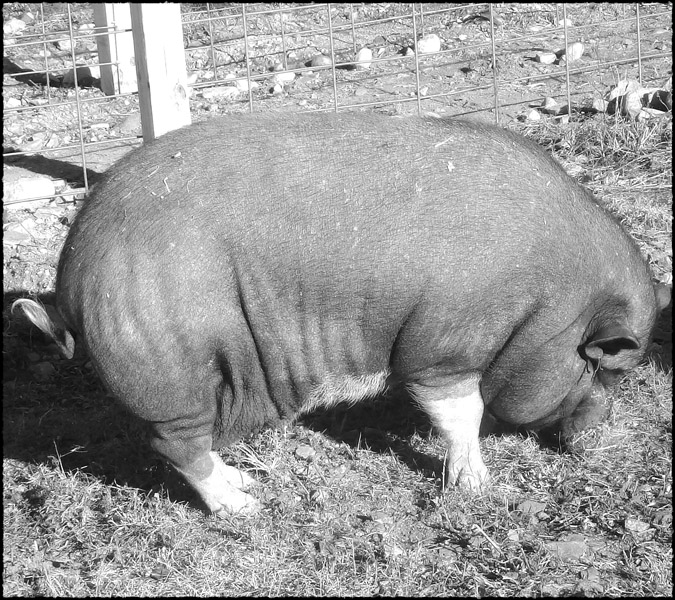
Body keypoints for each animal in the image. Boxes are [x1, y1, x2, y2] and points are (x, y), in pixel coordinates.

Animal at [13, 112, 669, 515]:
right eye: (605, 366)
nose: (598, 433)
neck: (550, 304)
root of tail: (69, 281)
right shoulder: (444, 347)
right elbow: (462, 413)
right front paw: (479, 489)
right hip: (169, 374)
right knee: (175, 445)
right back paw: (246, 505)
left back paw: (247, 482)